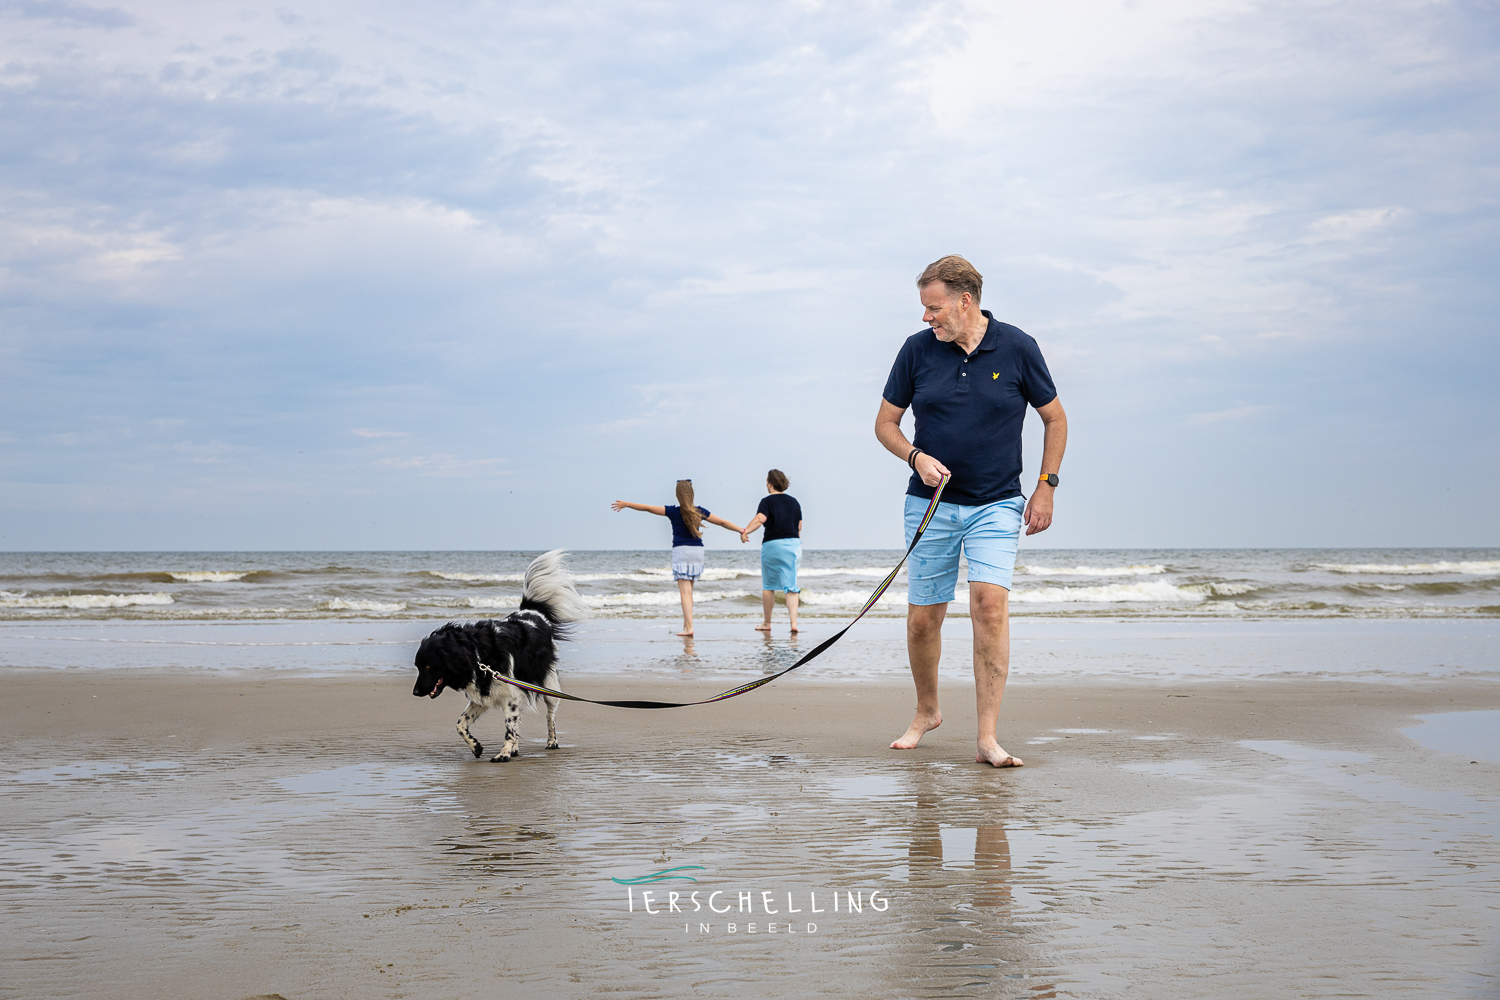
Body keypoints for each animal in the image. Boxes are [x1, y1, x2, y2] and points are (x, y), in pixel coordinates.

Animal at [420, 551, 594, 761]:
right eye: (418, 667)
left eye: (427, 667)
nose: (415, 692)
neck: (477, 654)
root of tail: (531, 611)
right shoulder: (485, 695)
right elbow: (461, 724)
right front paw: (476, 747)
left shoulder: (510, 695)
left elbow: (509, 730)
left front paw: (503, 754)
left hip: (548, 682)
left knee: (550, 715)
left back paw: (552, 742)